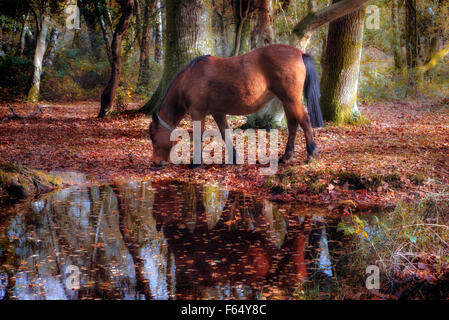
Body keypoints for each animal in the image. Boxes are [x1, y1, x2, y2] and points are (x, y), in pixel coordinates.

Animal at [150, 43, 322, 166]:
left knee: (305, 121)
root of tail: (300, 54)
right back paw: (286, 156)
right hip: (287, 101)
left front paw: (196, 163)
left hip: (291, 100)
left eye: (154, 139)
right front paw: (234, 158)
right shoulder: (217, 112)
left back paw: (311, 154)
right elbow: (225, 133)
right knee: (293, 124)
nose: (156, 163)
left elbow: (199, 135)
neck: (188, 79)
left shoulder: (197, 112)